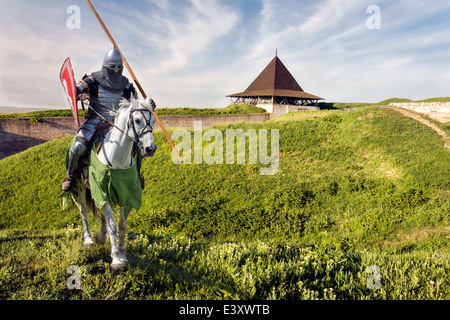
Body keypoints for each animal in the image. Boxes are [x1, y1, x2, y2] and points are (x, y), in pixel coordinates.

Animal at [73, 97, 156, 270]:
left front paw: (123, 255)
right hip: (82, 185)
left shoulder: (126, 194)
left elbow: (122, 225)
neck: (118, 156)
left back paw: (101, 236)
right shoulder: (102, 191)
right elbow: (113, 226)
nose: (150, 149)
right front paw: (116, 259)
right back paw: (89, 239)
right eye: (137, 120)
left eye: (152, 121)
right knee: (84, 210)